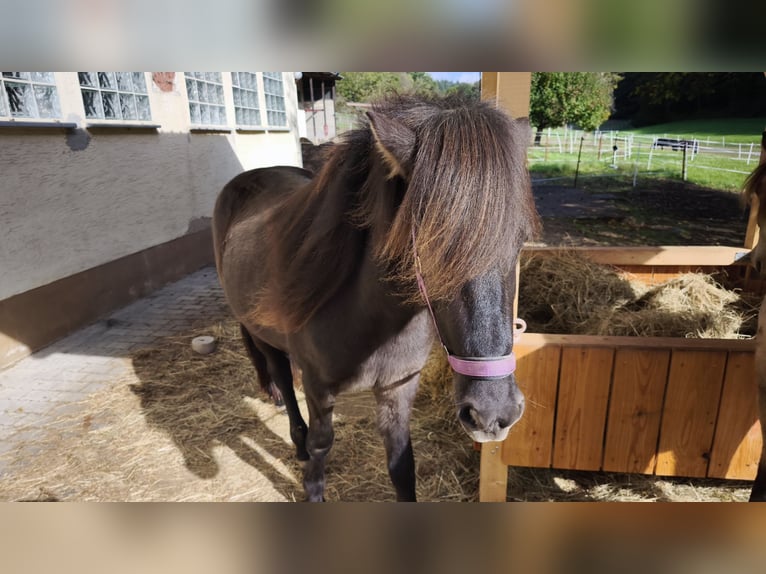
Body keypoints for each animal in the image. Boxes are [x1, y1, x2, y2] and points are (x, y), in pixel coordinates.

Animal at [212, 94, 540, 501]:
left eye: (520, 239)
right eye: (432, 244)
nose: (493, 413)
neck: (371, 318)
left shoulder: (397, 388)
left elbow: (401, 463)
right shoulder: (319, 388)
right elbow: (322, 444)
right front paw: (312, 482)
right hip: (262, 335)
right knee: (283, 380)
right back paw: (296, 439)